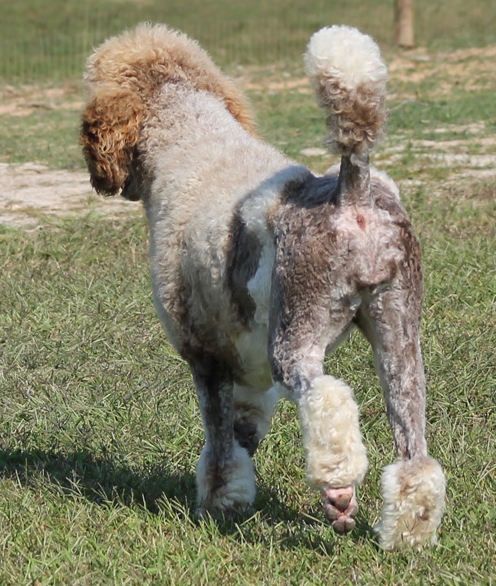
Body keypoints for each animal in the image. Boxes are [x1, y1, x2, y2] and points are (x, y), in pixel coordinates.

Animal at [80, 23, 446, 550]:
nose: (99, 178)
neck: (186, 140)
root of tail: (351, 193)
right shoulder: (249, 371)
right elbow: (243, 437)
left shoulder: (205, 356)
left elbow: (220, 446)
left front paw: (219, 504)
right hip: (398, 342)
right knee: (414, 454)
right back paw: (407, 535)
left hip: (296, 338)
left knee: (326, 401)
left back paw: (339, 489)